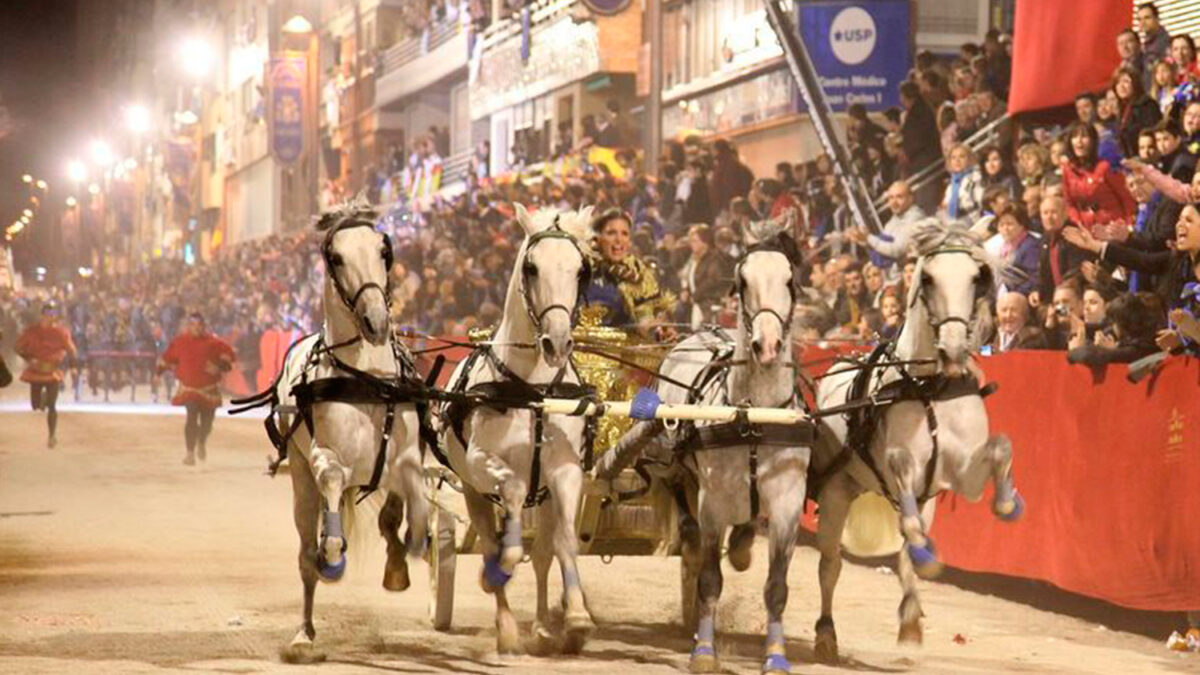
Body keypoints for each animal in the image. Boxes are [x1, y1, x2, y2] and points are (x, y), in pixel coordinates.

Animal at [268, 200, 432, 662]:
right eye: (336, 257)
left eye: (383, 250)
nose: (376, 320)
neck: (367, 378)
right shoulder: (325, 458)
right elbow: (332, 481)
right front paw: (334, 555)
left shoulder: (405, 455)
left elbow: (410, 498)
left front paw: (407, 550)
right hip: (300, 480)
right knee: (307, 553)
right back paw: (305, 631)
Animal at [436, 204, 595, 653]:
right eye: (531, 267)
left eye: (581, 269)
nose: (557, 342)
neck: (535, 390)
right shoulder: (481, 462)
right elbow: (510, 496)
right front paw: (499, 570)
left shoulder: (566, 471)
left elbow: (564, 543)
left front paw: (576, 616)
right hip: (471, 489)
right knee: (491, 541)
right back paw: (506, 626)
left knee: (541, 553)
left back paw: (541, 625)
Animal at [638, 213, 816, 672]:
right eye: (742, 280)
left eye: (790, 280)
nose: (767, 345)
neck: (755, 417)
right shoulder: (713, 501)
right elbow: (708, 579)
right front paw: (704, 649)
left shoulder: (788, 502)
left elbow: (776, 586)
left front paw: (775, 655)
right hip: (674, 465)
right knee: (687, 522)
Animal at [816, 218, 1022, 658]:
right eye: (927, 278)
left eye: (977, 277)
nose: (954, 348)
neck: (931, 388)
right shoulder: (901, 468)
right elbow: (905, 506)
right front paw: (929, 558)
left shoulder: (962, 475)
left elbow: (1001, 447)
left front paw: (1009, 504)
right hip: (837, 490)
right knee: (830, 563)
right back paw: (825, 633)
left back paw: (910, 615)